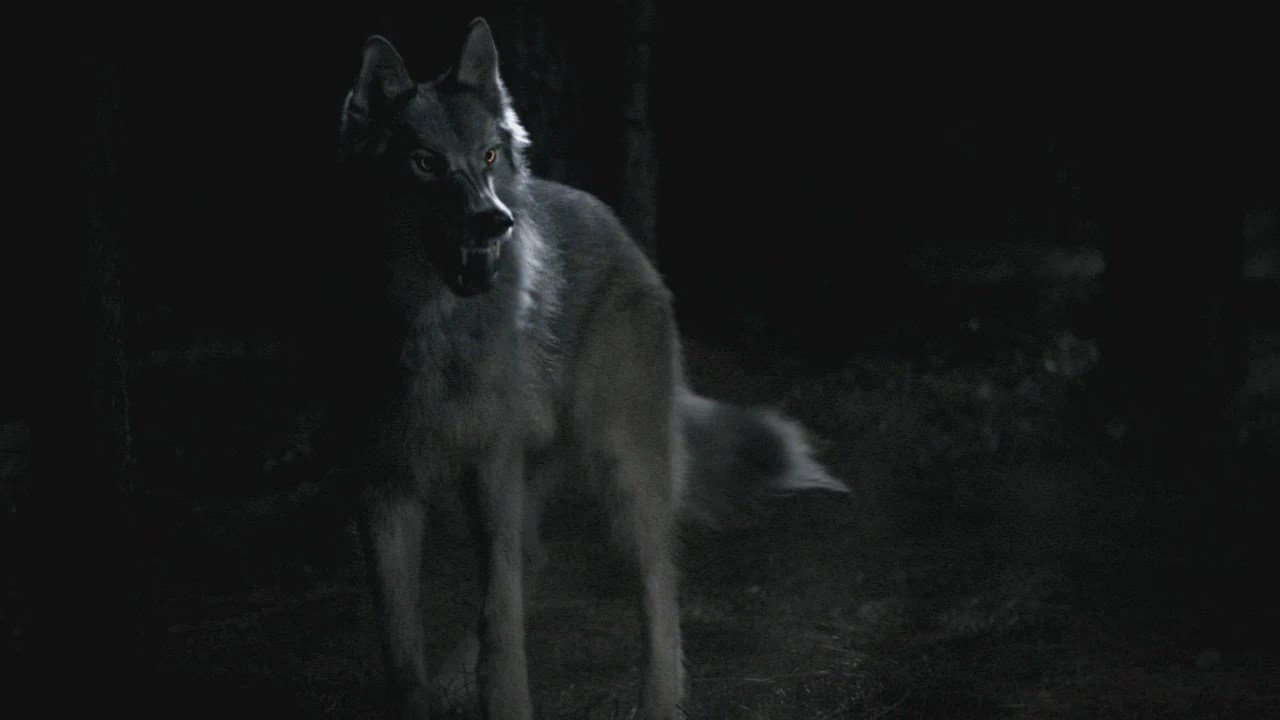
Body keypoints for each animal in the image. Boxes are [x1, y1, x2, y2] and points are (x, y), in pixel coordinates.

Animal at [334, 17, 849, 720]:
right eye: (425, 162)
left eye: (488, 156)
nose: (495, 223)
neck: (436, 332)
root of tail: (615, 223)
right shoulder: (384, 486)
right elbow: (400, 643)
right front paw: (426, 691)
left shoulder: (488, 467)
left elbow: (501, 617)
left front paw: (505, 701)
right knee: (533, 557)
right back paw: (454, 679)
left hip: (623, 470)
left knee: (657, 584)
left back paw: (658, 701)